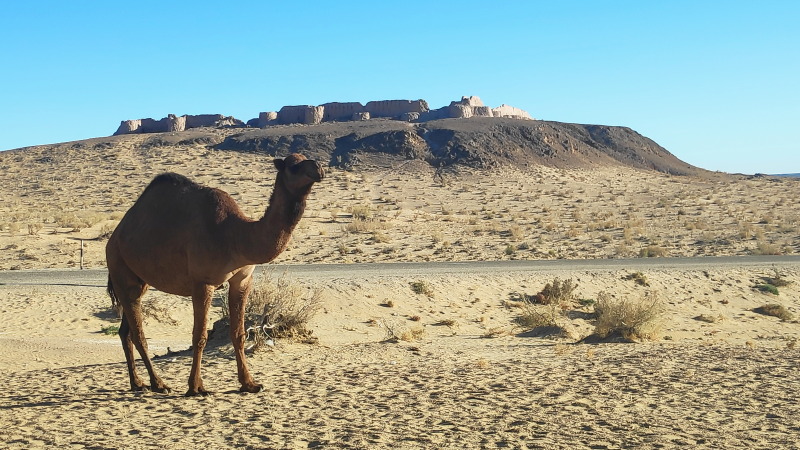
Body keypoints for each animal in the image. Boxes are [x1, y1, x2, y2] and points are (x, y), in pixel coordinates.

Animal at [106, 153, 324, 396]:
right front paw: (196, 387)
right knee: (138, 333)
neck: (235, 234)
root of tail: (113, 238)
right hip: (120, 268)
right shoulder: (203, 282)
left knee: (125, 331)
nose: (318, 167)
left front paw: (249, 383)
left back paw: (137, 383)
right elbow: (199, 336)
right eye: (293, 165)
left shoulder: (242, 279)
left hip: (138, 281)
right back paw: (159, 383)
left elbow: (238, 333)